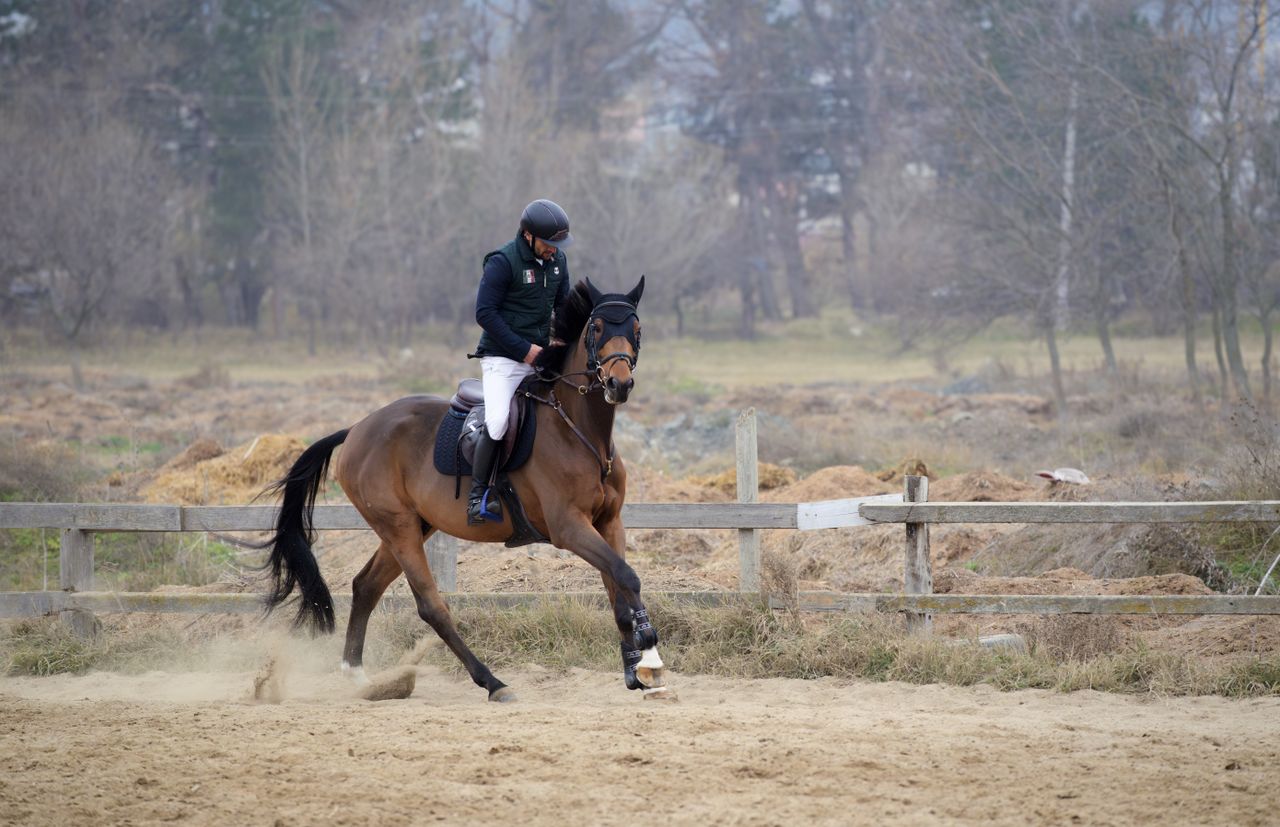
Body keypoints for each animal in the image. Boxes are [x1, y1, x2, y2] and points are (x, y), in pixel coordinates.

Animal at [261, 276, 672, 701]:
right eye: (596, 328)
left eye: (636, 329)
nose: (619, 384)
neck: (581, 432)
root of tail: (358, 428)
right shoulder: (569, 527)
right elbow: (626, 576)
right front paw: (651, 656)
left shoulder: (608, 522)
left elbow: (618, 588)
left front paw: (636, 669)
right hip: (398, 527)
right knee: (430, 606)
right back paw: (492, 682)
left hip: (413, 526)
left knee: (365, 586)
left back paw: (362, 680)